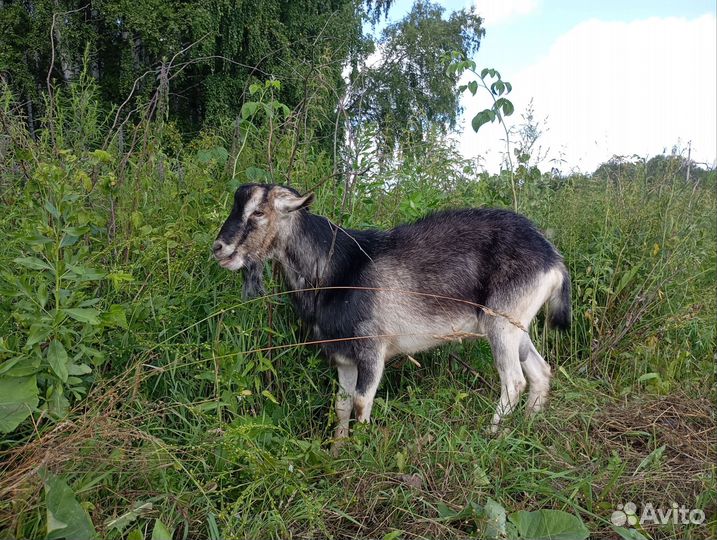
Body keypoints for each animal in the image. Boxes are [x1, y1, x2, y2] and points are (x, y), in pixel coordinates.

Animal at [213, 184, 572, 446]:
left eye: (259, 212)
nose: (219, 248)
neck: (336, 269)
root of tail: (553, 260)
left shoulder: (372, 349)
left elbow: (361, 402)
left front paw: (362, 450)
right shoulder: (343, 356)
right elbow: (342, 404)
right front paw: (338, 449)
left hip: (501, 322)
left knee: (514, 381)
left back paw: (491, 435)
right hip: (518, 325)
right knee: (541, 371)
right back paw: (528, 426)